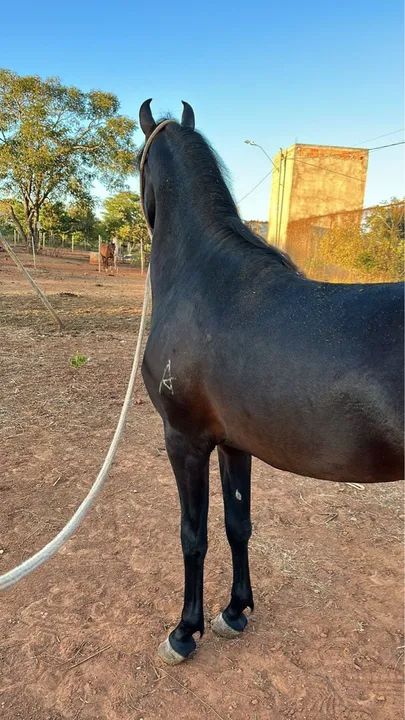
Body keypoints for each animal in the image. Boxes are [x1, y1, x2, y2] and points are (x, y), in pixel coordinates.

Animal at [138, 99, 404, 666]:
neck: (204, 279)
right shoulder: (234, 443)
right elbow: (238, 524)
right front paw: (235, 612)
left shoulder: (184, 441)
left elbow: (193, 535)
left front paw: (184, 631)